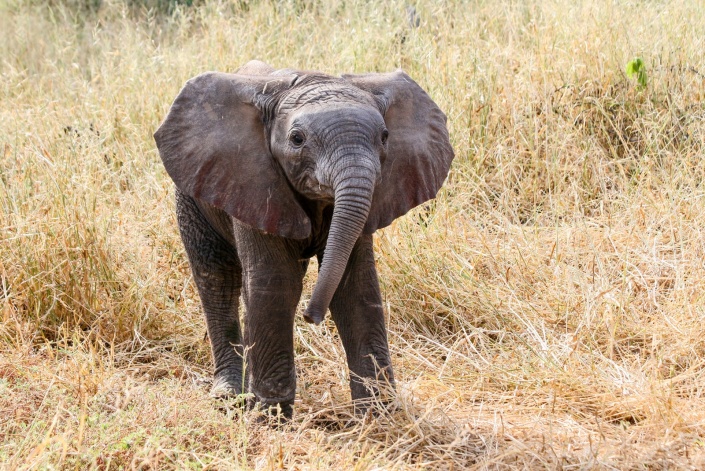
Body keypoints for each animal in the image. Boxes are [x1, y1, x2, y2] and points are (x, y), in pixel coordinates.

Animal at [154, 60, 454, 418]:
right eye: (297, 139)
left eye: (385, 137)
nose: (311, 317)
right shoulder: (253, 182)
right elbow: (276, 283)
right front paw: (270, 416)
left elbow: (356, 286)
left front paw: (378, 415)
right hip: (192, 193)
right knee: (216, 279)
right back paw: (228, 397)